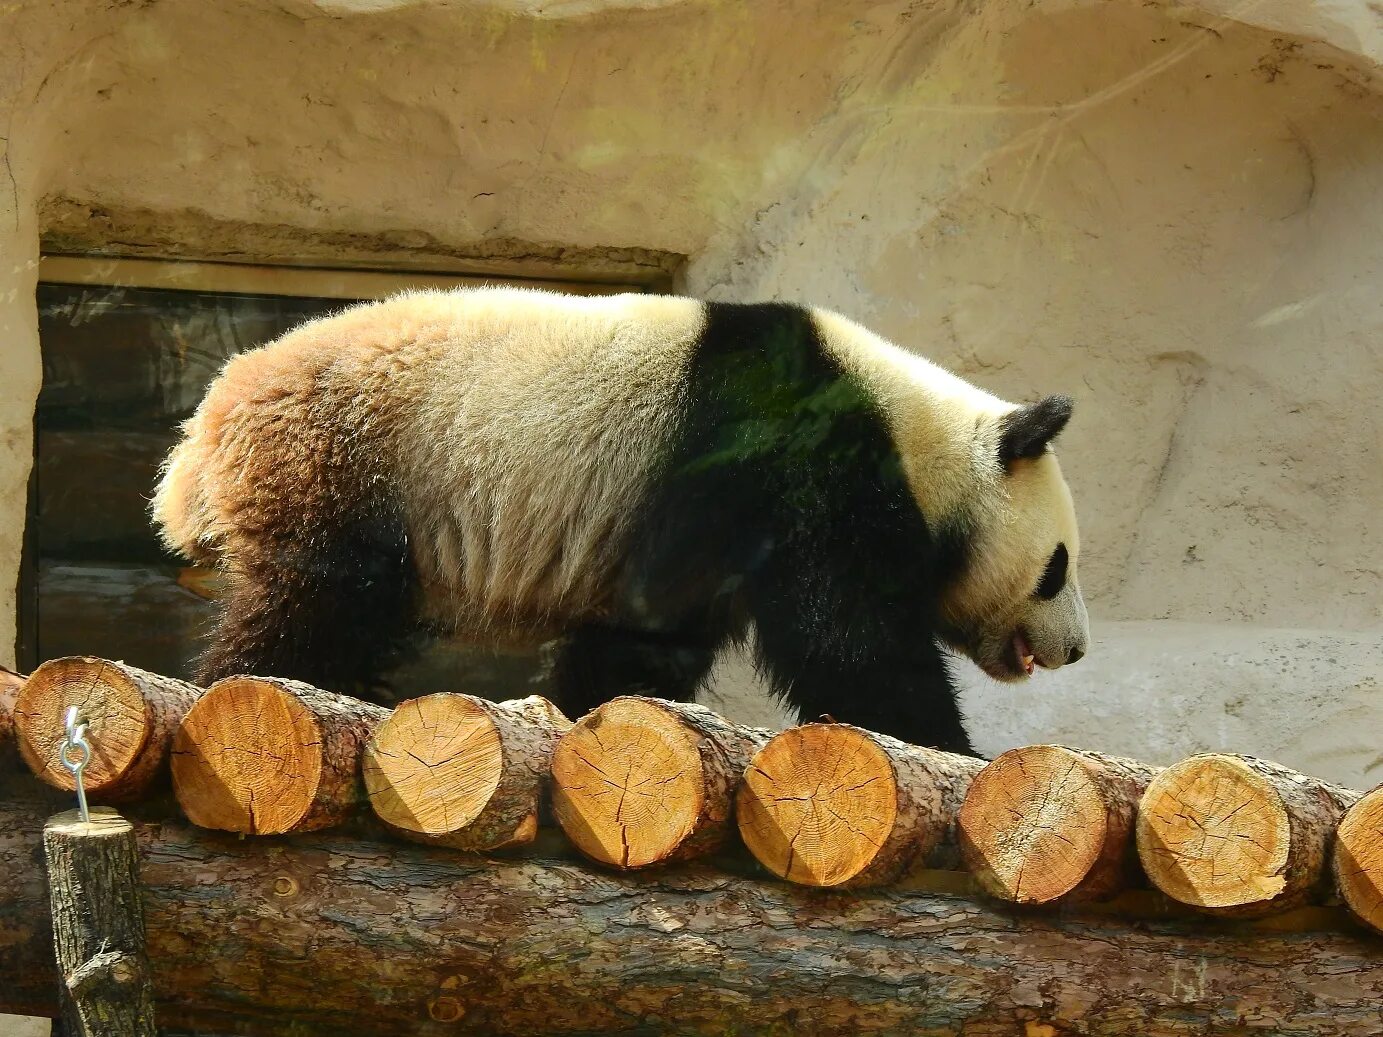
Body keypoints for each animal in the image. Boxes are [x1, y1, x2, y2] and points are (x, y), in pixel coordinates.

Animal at [154, 284, 1089, 757]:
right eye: (1057, 567)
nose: (1076, 649)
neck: (915, 435)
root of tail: (205, 432)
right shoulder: (796, 462)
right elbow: (850, 640)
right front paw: (954, 747)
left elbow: (643, 640)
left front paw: (591, 714)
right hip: (343, 462)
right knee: (315, 607)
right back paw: (250, 685)